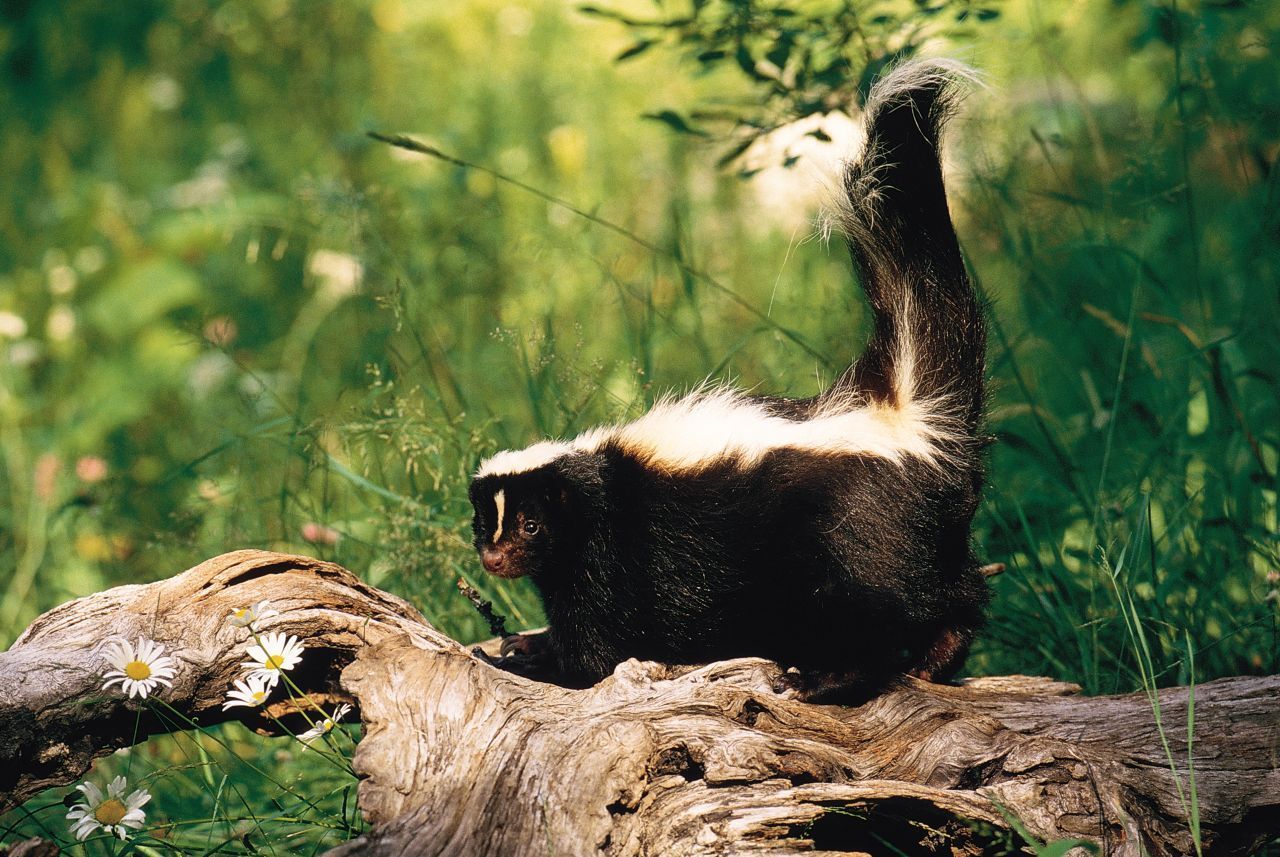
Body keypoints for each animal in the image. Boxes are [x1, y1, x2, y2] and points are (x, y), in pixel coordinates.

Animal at [468, 62, 988, 706]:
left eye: (533, 524)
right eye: (482, 525)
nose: (495, 559)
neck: (592, 477)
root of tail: (907, 416)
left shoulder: (615, 551)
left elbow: (598, 647)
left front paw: (527, 660)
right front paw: (525, 642)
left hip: (854, 537)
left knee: (875, 613)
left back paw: (827, 678)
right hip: (916, 537)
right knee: (955, 590)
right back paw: (935, 661)